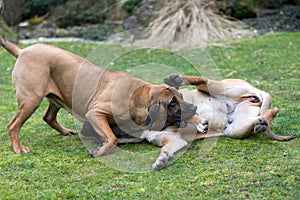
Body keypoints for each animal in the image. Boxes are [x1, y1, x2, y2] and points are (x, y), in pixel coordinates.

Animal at [82, 74, 296, 170]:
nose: (84, 128)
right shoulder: (174, 140)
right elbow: (166, 148)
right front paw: (163, 159)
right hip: (235, 128)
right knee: (270, 112)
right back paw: (262, 123)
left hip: (222, 87)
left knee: (203, 80)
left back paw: (176, 79)